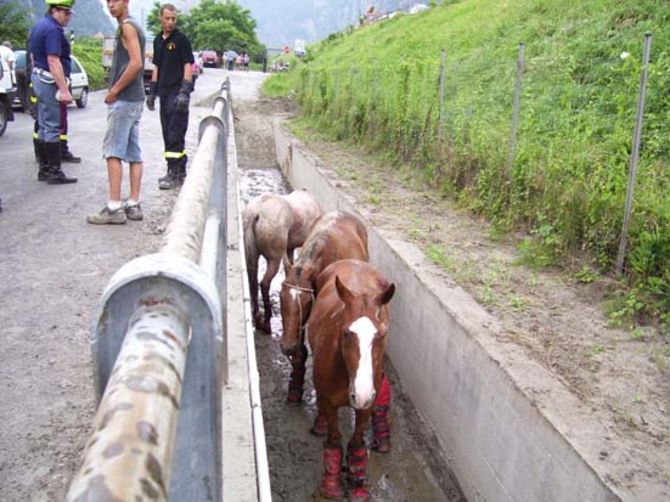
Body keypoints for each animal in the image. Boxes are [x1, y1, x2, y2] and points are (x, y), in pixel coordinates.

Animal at [243, 190, 322, 334]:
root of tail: (255, 213)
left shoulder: (289, 248)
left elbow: (289, 267)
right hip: (274, 258)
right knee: (264, 283)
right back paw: (267, 323)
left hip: (252, 256)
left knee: (253, 282)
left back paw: (258, 319)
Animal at [307, 259, 395, 501]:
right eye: (346, 333)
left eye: (381, 335)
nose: (361, 393)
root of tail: (352, 261)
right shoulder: (330, 402)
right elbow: (335, 440)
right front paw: (331, 485)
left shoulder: (367, 405)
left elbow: (357, 443)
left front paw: (357, 485)